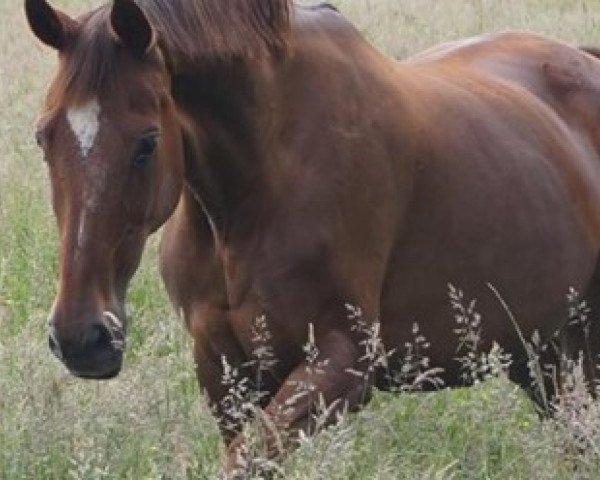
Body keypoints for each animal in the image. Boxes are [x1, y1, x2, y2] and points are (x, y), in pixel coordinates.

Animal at [25, 0, 600, 474]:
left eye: (146, 142)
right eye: (43, 136)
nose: (81, 338)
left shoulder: (340, 365)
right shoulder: (224, 372)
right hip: (538, 350)